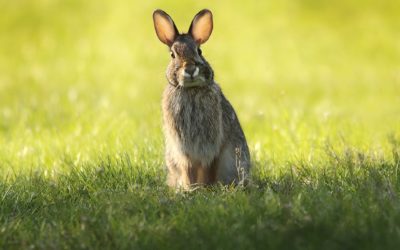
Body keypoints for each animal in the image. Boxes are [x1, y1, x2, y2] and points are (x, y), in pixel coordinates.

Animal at [153, 9, 250, 189]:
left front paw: (202, 187)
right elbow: (187, 169)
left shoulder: (209, 147)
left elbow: (206, 167)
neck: (191, 90)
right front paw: (190, 188)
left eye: (199, 51)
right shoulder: (183, 150)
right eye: (172, 54)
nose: (190, 69)